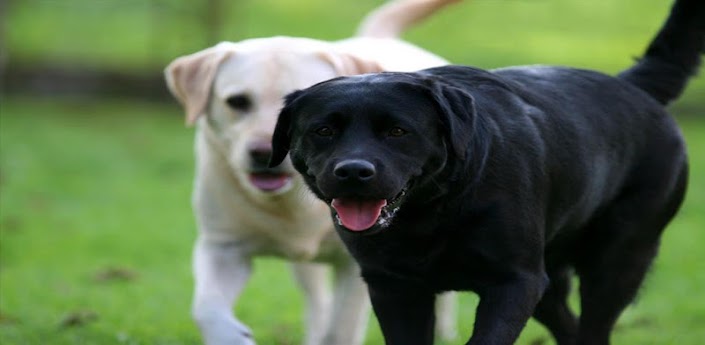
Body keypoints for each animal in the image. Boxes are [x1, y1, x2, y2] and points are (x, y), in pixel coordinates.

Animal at [166, 1, 462, 342]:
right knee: (317, 301)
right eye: (237, 102)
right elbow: (206, 307)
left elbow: (342, 327)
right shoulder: (222, 247)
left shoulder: (358, 264)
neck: (293, 203)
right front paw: (230, 336)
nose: (263, 152)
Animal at [268, 1, 700, 342]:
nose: (354, 171)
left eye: (397, 131)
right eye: (323, 131)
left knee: (595, 325)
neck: (431, 213)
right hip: (550, 280)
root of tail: (635, 86)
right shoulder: (393, 287)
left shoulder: (515, 282)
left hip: (618, 258)